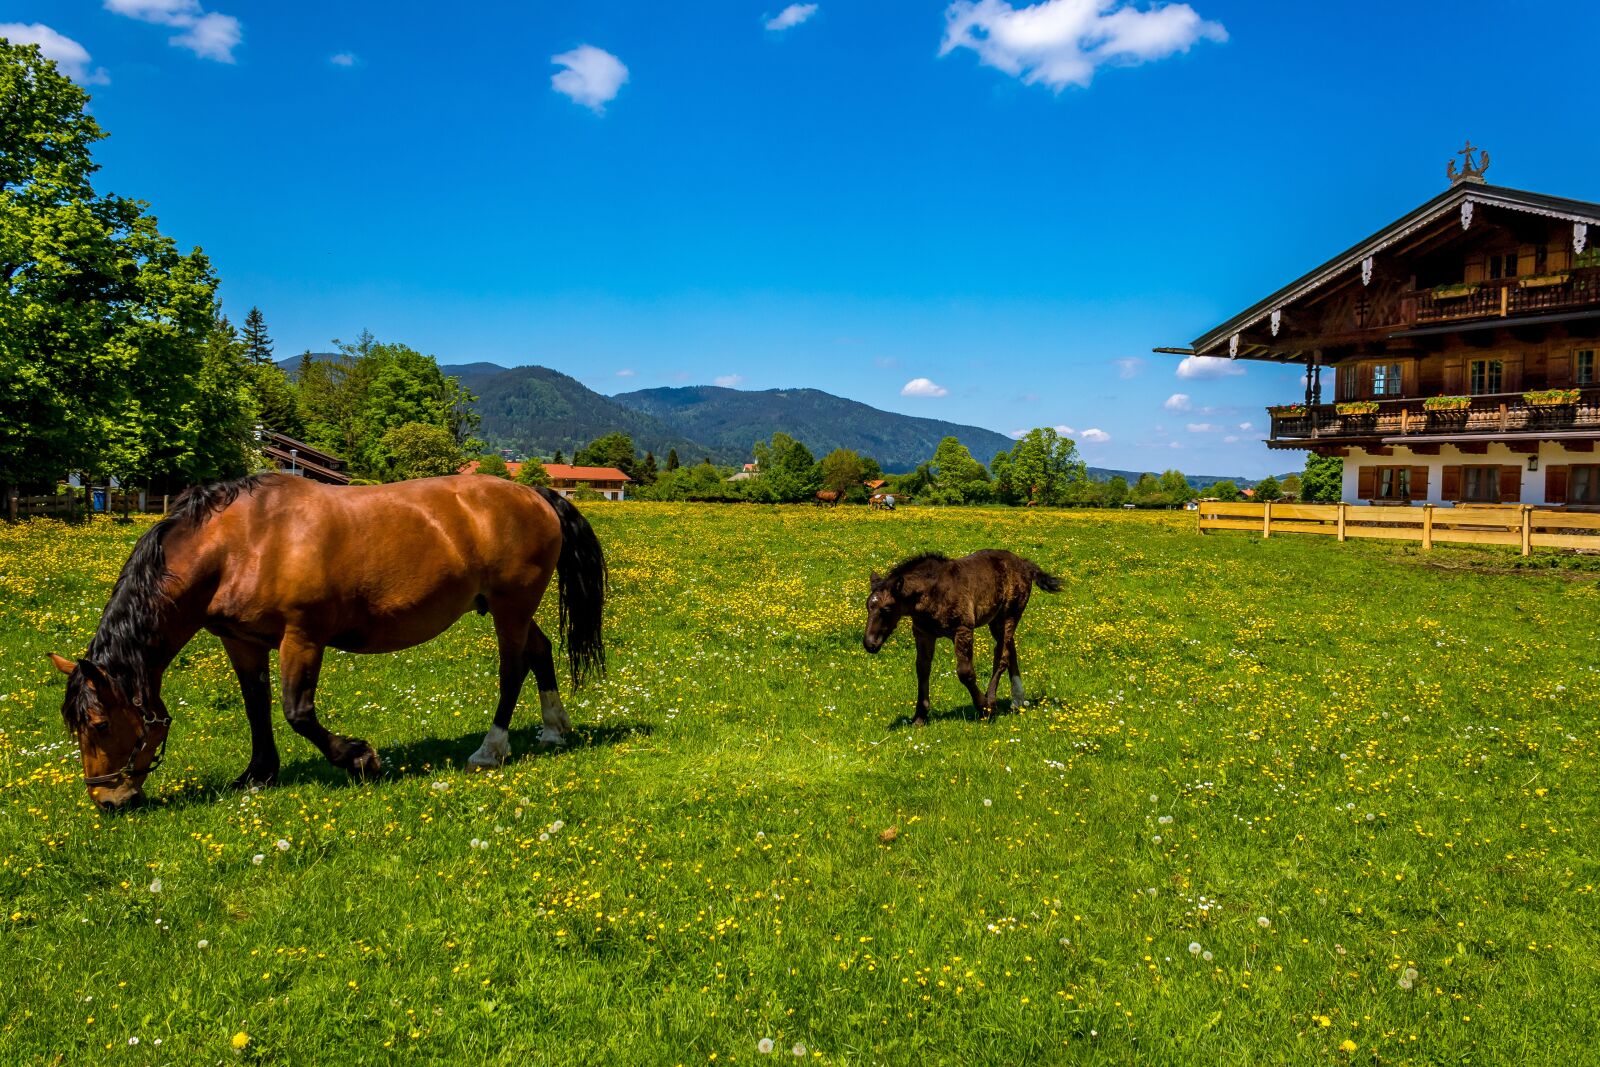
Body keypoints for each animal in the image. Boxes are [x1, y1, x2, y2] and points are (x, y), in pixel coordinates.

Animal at [48, 474, 606, 811]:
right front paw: (258, 774)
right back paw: (554, 729)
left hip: (510, 607)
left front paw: (360, 758)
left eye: (99, 724)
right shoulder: (242, 642)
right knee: (540, 652)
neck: (239, 543)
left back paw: (490, 750)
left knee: (512, 670)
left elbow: (298, 712)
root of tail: (535, 494)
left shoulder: (303, 637)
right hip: (509, 608)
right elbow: (256, 706)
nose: (108, 801)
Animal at [862, 550, 1061, 725]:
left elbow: (965, 672)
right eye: (868, 606)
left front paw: (984, 709)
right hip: (996, 621)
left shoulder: (963, 630)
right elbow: (922, 670)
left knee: (1002, 656)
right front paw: (919, 717)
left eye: (886, 609)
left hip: (1010, 615)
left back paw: (993, 701)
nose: (869, 643)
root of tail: (1025, 564)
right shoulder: (923, 633)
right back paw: (1017, 700)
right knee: (1010, 649)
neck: (933, 593)